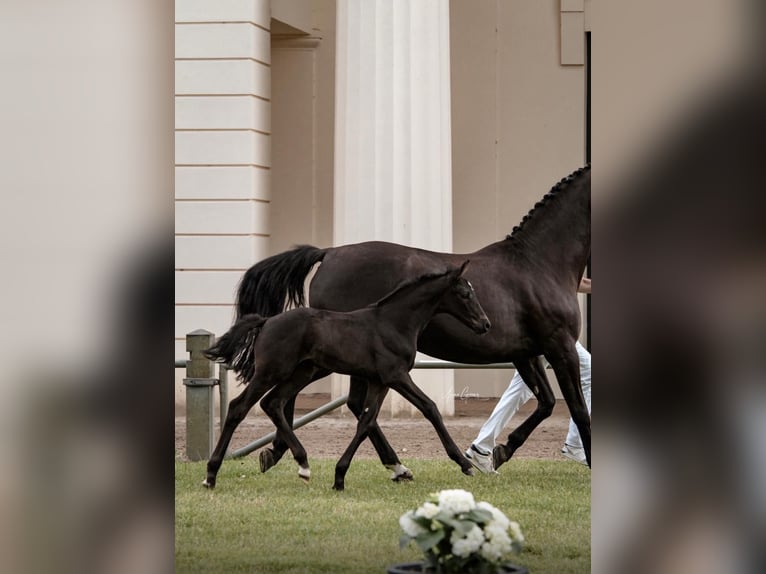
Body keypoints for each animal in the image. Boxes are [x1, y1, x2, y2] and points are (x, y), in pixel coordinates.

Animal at [202, 261, 491, 490]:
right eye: (465, 293)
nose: (485, 324)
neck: (394, 323)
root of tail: (266, 321)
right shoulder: (396, 377)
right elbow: (430, 408)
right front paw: (464, 464)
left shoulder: (379, 381)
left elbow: (366, 422)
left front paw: (340, 476)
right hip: (271, 372)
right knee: (238, 407)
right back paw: (211, 474)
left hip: (302, 372)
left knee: (272, 403)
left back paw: (302, 463)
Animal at [238, 165, 591, 475]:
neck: (537, 264)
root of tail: (329, 253)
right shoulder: (560, 347)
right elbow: (578, 409)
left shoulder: (526, 353)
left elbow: (547, 402)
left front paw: (499, 452)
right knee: (323, 401)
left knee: (338, 403)